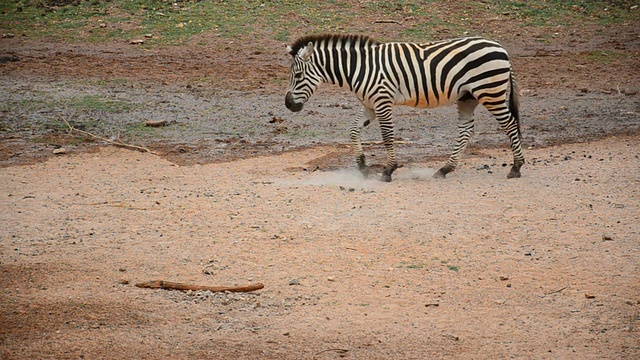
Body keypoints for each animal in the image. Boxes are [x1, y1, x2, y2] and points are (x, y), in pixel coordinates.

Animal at [284, 33, 524, 181]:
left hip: (489, 92)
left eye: (298, 75)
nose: (288, 104)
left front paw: (388, 170)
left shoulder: (382, 101)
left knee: (510, 125)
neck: (360, 68)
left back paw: (516, 167)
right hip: (467, 97)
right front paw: (363, 167)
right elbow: (353, 131)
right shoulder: (369, 104)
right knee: (466, 130)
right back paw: (444, 169)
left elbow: (387, 136)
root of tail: (501, 48)